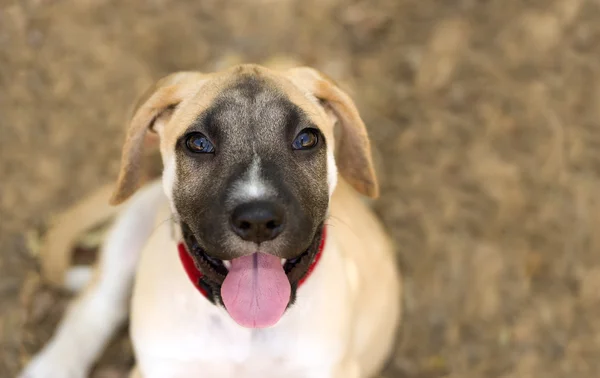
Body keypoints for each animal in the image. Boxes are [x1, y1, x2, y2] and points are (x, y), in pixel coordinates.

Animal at [19, 63, 404, 376]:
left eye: (307, 138)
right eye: (198, 143)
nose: (258, 220)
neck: (245, 330)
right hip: (131, 226)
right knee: (96, 306)